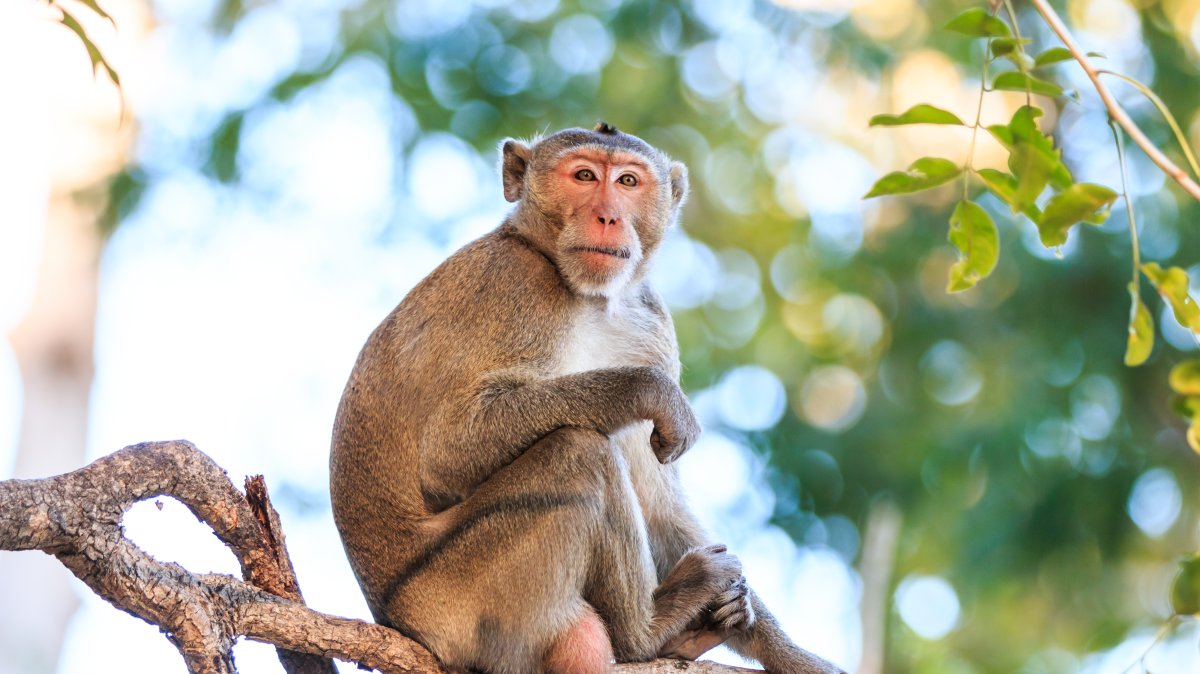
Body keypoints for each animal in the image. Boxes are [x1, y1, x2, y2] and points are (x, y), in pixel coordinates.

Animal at [330, 122, 843, 674]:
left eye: (627, 181)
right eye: (583, 176)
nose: (607, 216)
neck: (587, 297)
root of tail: (398, 618)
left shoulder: (649, 321)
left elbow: (659, 504)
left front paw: (788, 653)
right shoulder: (516, 285)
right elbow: (448, 453)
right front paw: (648, 392)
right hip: (462, 595)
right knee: (578, 451)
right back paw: (649, 633)